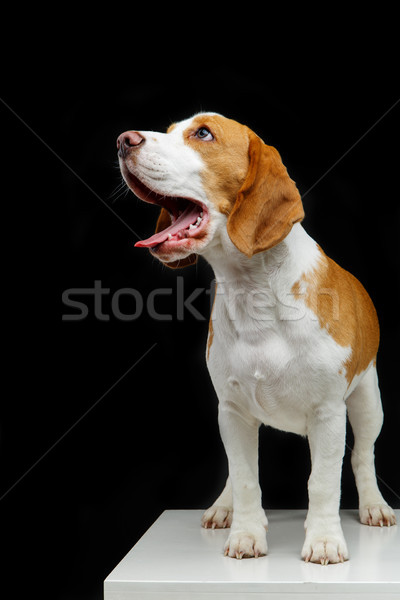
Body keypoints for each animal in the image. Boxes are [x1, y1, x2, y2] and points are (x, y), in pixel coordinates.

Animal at [117, 115, 396, 564]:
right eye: (171, 129)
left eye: (203, 134)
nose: (124, 141)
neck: (254, 292)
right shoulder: (232, 411)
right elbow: (246, 477)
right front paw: (246, 534)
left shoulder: (328, 413)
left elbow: (323, 481)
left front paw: (323, 539)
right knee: (236, 467)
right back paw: (223, 506)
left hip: (368, 401)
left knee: (362, 455)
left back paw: (373, 504)